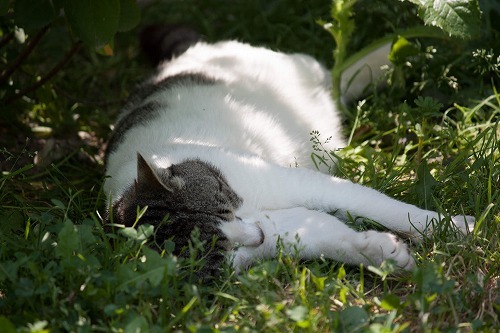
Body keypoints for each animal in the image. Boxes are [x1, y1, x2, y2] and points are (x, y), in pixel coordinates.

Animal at [103, 25, 474, 274]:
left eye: (226, 208)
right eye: (225, 248)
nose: (256, 233)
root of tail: (188, 54)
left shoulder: (299, 183)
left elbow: (383, 207)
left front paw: (451, 227)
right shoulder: (287, 229)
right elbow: (330, 236)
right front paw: (381, 254)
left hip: (297, 68)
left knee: (337, 75)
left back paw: (397, 55)